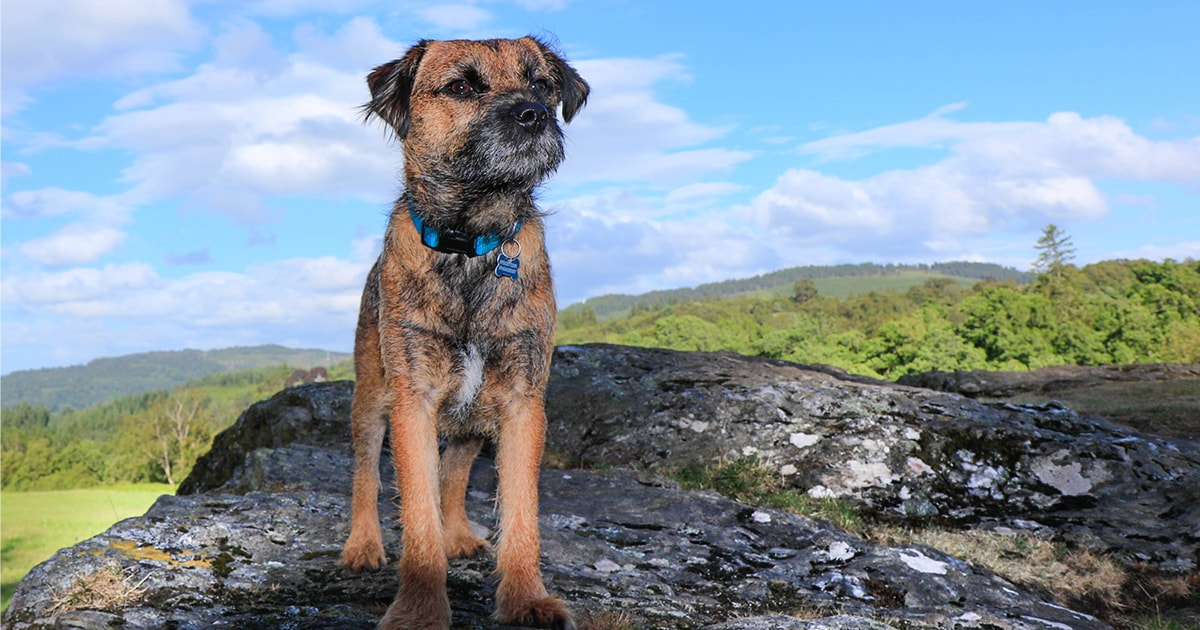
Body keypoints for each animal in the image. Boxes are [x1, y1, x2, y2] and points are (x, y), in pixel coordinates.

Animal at [340, 35, 588, 628]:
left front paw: (525, 599)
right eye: (460, 87)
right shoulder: (413, 401)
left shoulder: (522, 403)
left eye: (542, 84)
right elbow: (416, 510)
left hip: (475, 415)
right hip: (371, 397)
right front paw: (420, 607)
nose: (533, 114)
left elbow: (520, 513)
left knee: (455, 471)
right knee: (366, 472)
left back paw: (458, 533)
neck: (472, 243)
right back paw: (362, 544)